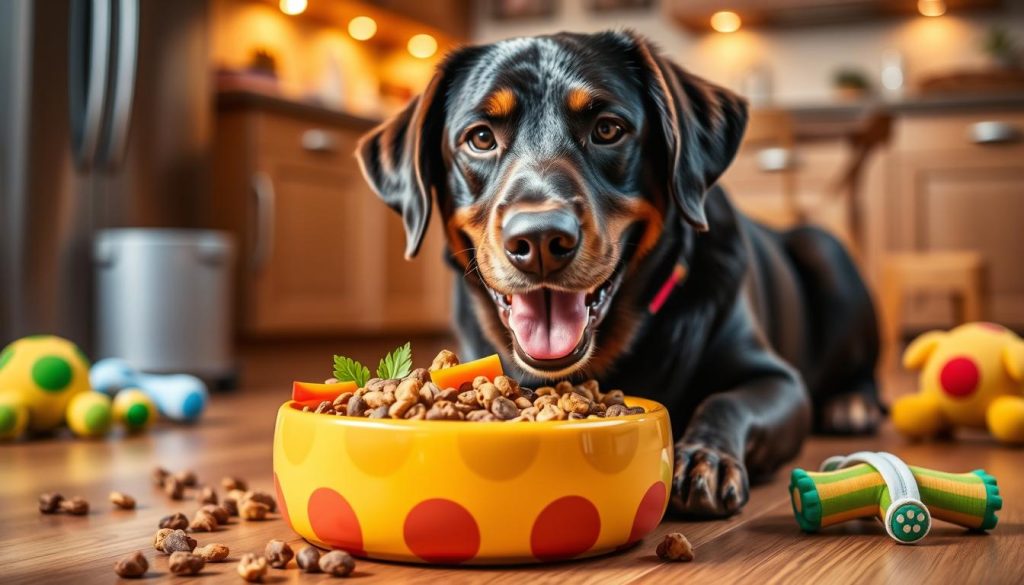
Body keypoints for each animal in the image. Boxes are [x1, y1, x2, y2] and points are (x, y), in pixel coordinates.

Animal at [358, 32, 880, 516]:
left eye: (608, 129)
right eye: (481, 138)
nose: (540, 240)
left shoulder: (779, 381)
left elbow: (726, 400)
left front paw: (703, 457)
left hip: (825, 249)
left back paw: (852, 405)